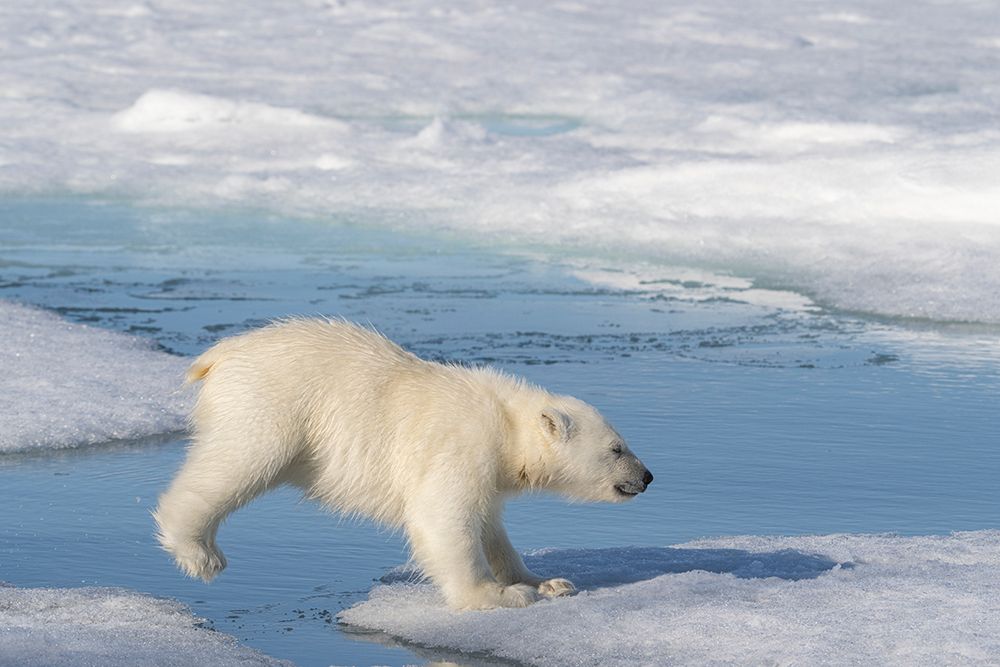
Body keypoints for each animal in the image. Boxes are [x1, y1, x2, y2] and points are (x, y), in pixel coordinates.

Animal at [154, 318, 652, 610]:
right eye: (617, 448)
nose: (647, 476)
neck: (506, 422)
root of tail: (220, 355)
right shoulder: (461, 446)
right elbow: (443, 518)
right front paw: (498, 594)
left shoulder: (490, 473)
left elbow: (491, 527)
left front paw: (548, 582)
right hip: (274, 404)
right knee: (240, 461)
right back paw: (200, 554)